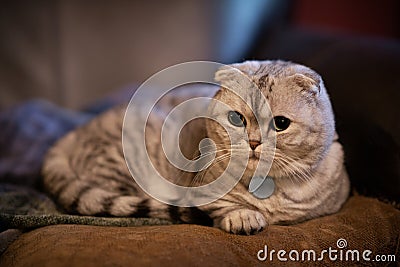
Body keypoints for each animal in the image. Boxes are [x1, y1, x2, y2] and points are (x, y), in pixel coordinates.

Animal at [42, 60, 350, 234]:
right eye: (236, 119)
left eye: (281, 123)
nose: (253, 142)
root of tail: (74, 133)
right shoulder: (203, 193)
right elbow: (226, 208)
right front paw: (244, 217)